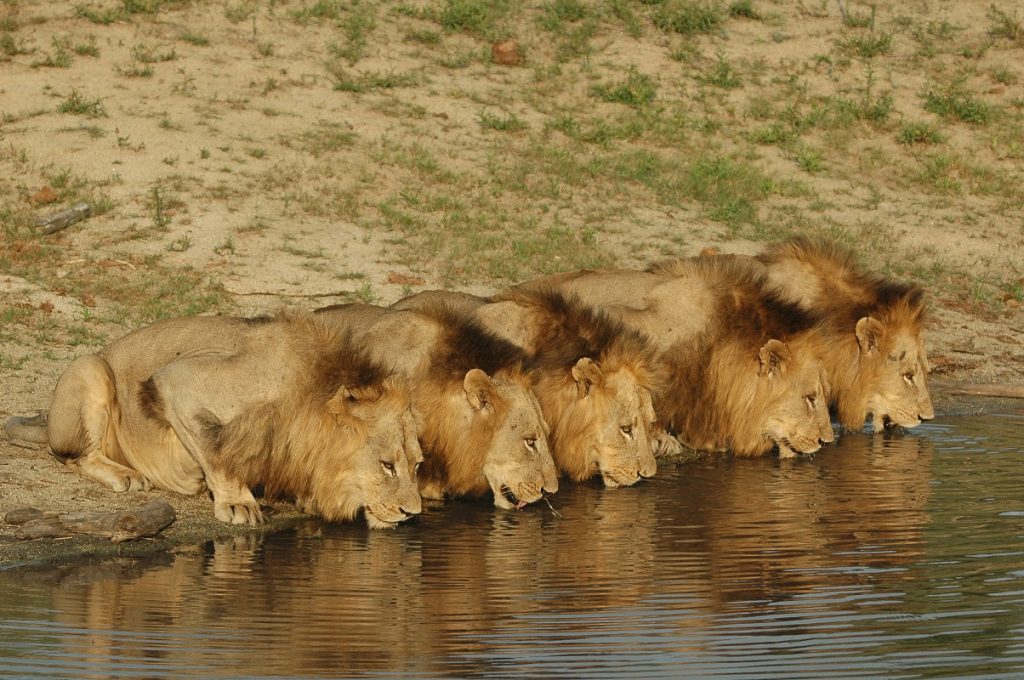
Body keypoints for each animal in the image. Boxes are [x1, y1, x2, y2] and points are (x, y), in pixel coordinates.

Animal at [3, 311, 419, 528]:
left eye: (417, 465)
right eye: (387, 465)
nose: (412, 513)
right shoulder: (177, 381)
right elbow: (217, 451)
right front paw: (237, 503)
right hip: (91, 367)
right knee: (74, 455)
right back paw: (126, 475)